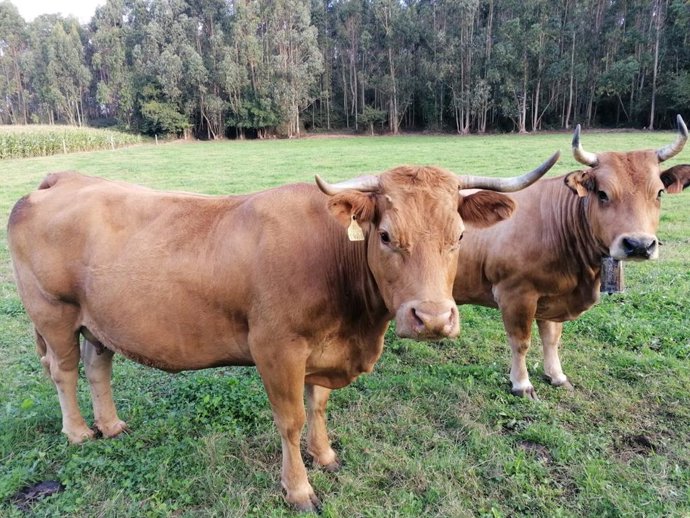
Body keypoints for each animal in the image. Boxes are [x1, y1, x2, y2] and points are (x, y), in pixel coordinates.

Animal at [7, 153, 558, 512]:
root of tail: (62, 179)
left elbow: (319, 406)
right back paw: (80, 433)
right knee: (64, 370)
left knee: (98, 365)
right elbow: (290, 420)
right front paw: (299, 489)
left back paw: (112, 425)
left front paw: (326, 455)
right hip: (53, 314)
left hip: (98, 321)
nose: (435, 319)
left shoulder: (322, 350)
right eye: (385, 236)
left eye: (460, 236)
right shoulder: (277, 348)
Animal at [453, 115, 689, 400]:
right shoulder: (515, 294)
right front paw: (522, 384)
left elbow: (552, 338)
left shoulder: (551, 296)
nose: (639, 245)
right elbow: (521, 342)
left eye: (659, 193)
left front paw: (556, 376)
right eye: (602, 193)